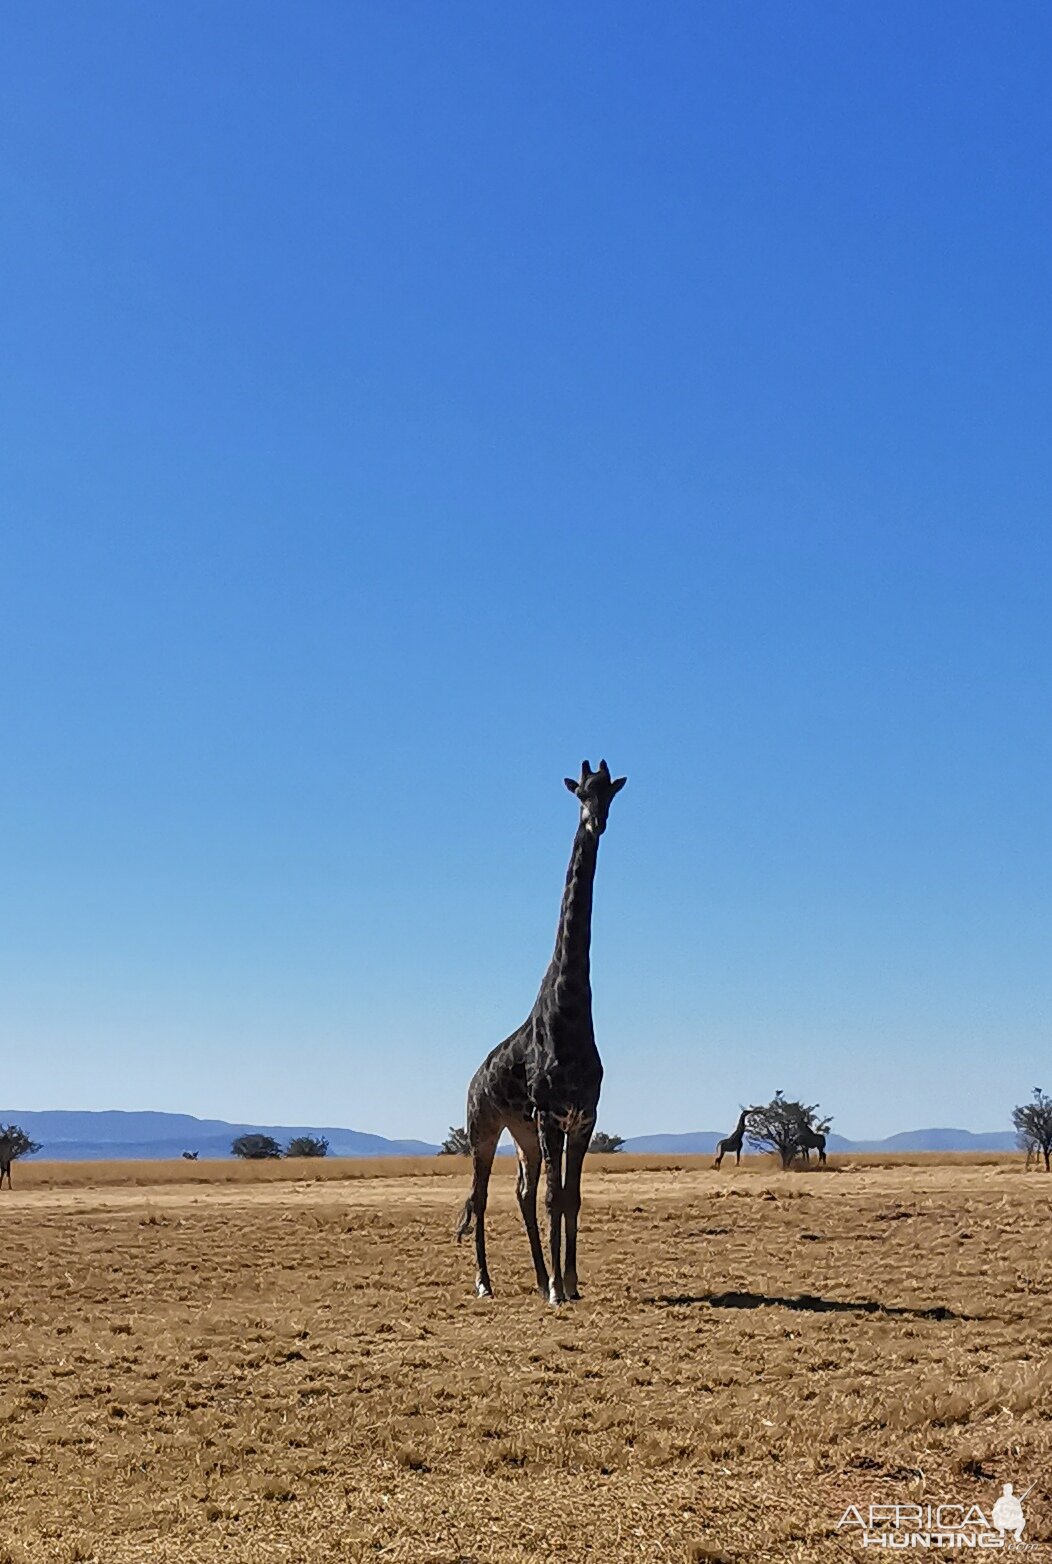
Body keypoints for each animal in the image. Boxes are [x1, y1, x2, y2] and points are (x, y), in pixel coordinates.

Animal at [453, 756, 625, 1307]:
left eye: (609, 793)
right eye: (580, 794)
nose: (596, 823)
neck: (571, 1010)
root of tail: (473, 1078)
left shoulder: (584, 1116)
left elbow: (571, 1197)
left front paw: (568, 1281)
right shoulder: (551, 1114)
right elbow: (555, 1196)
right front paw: (556, 1290)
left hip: (523, 1132)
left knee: (522, 1193)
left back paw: (536, 1274)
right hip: (483, 1129)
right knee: (483, 1196)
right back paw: (486, 1282)